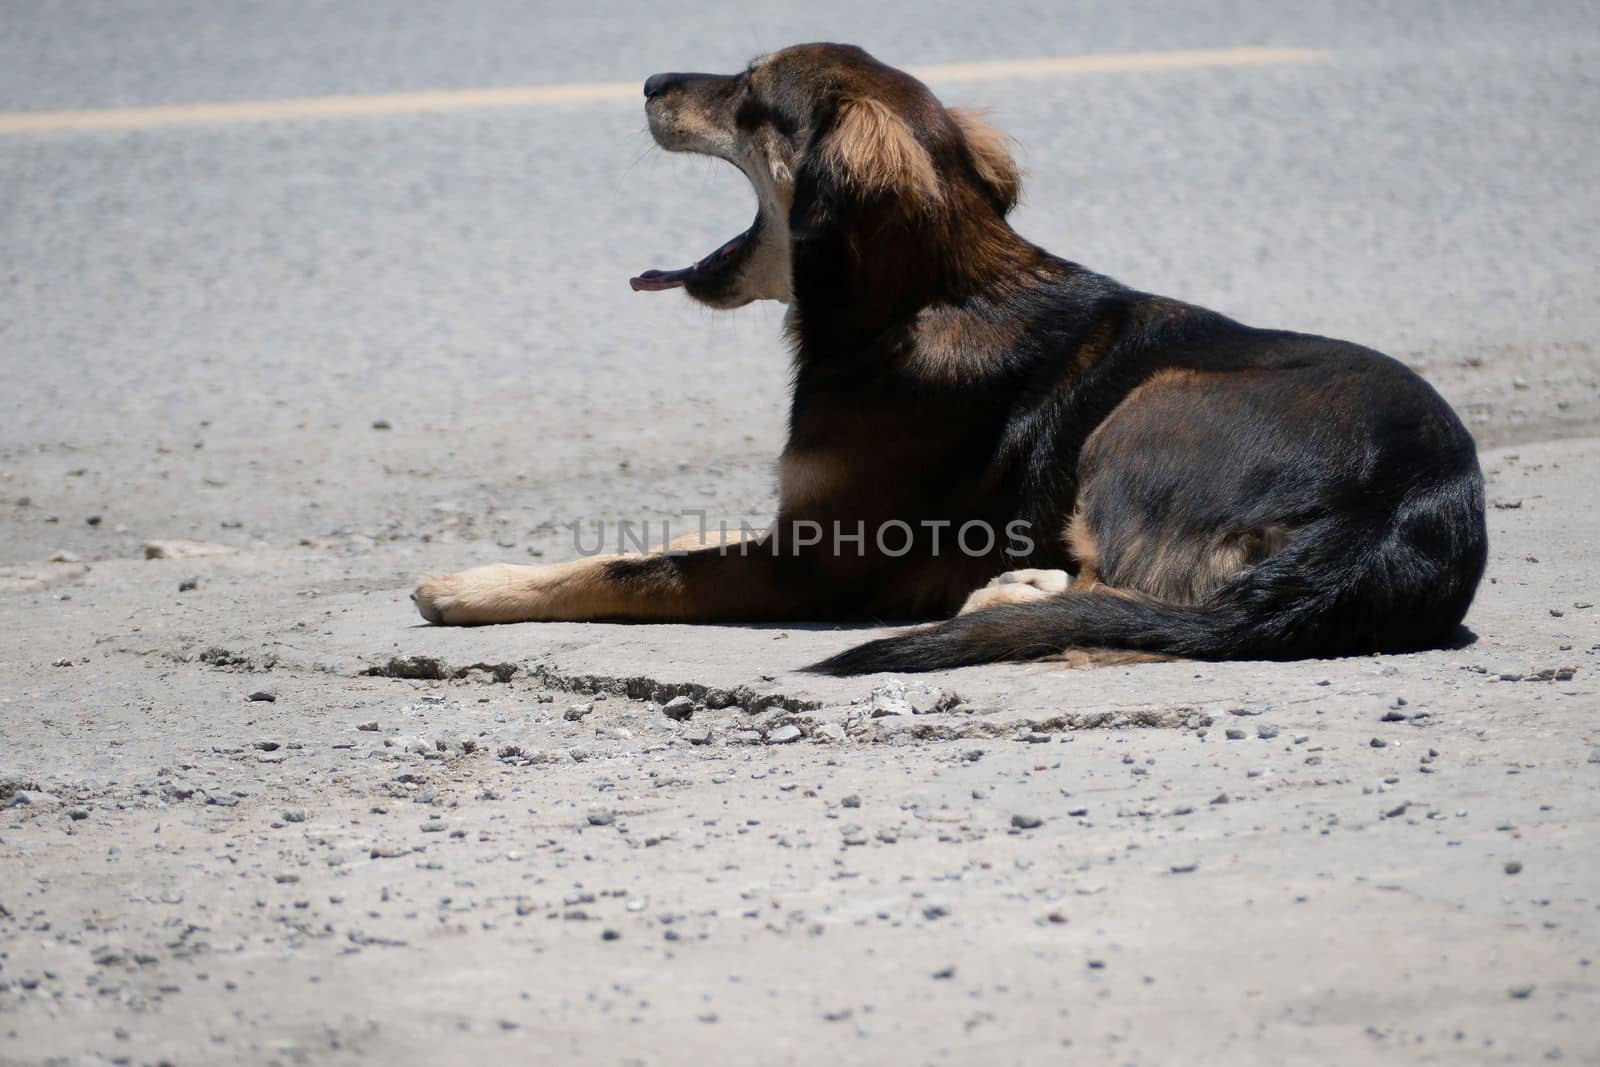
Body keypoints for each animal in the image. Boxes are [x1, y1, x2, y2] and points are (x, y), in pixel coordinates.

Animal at [412, 45, 1484, 675]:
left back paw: (1014, 589)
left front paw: (473, 586)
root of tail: (1400, 510)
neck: (915, 299)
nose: (645, 84)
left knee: (1132, 593)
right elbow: (659, 546)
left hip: (1153, 405)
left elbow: (629, 568)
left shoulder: (814, 563)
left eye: (750, 95)